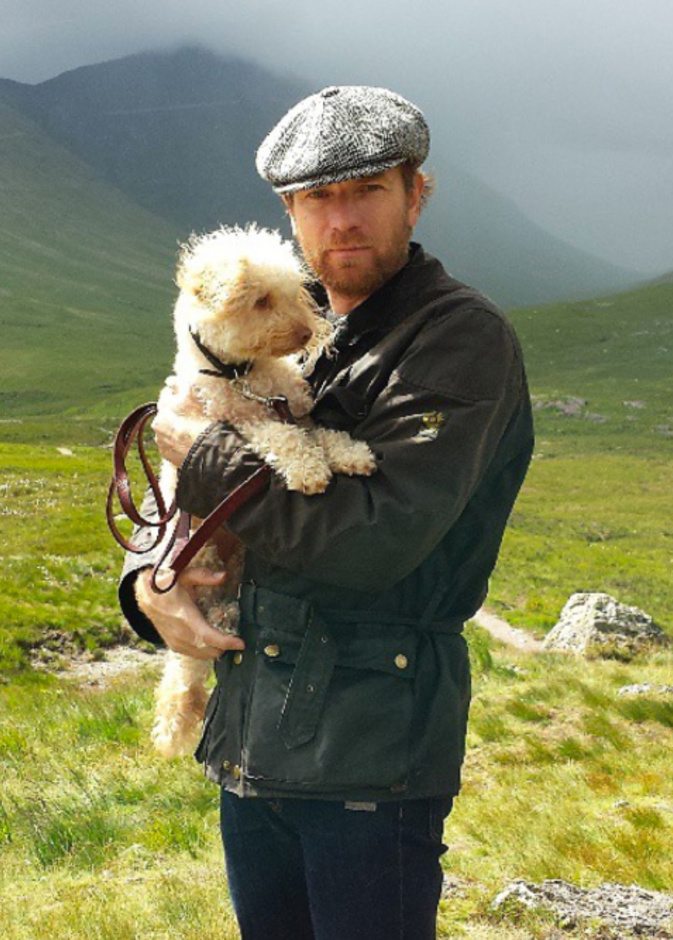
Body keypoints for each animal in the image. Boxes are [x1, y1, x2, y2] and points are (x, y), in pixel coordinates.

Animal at [136, 224, 376, 758]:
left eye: (293, 292)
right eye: (261, 299)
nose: (307, 334)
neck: (244, 376)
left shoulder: (296, 410)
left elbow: (319, 432)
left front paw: (351, 453)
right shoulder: (242, 425)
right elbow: (283, 439)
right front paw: (309, 470)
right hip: (197, 553)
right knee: (205, 614)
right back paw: (223, 621)